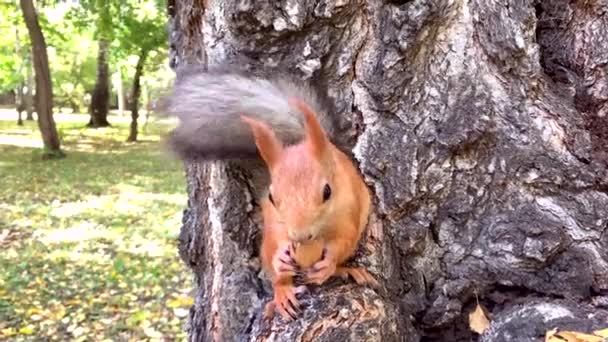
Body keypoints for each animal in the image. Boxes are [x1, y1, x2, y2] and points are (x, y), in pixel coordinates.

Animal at [164, 66, 378, 320]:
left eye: (327, 192)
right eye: (272, 197)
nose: (299, 236)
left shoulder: (348, 211)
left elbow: (342, 240)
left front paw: (329, 263)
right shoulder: (275, 221)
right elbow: (278, 240)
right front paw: (281, 257)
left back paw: (346, 270)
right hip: (266, 245)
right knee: (277, 276)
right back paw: (281, 294)